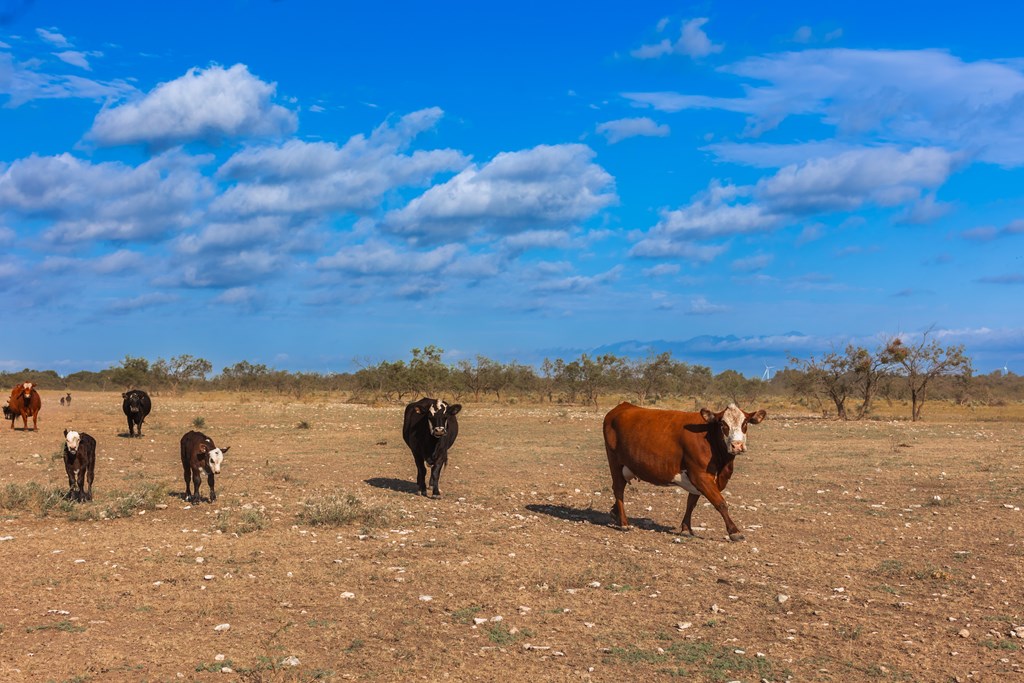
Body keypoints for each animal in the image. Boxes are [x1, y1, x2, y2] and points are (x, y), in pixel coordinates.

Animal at [602, 403, 765, 540]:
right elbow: (720, 503)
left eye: (745, 423)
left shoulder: (698, 478)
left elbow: (691, 503)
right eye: (722, 424)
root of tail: (623, 406)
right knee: (618, 489)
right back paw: (624, 523)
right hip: (614, 462)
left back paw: (615, 513)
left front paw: (686, 528)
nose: (737, 446)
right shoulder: (700, 475)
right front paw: (734, 531)